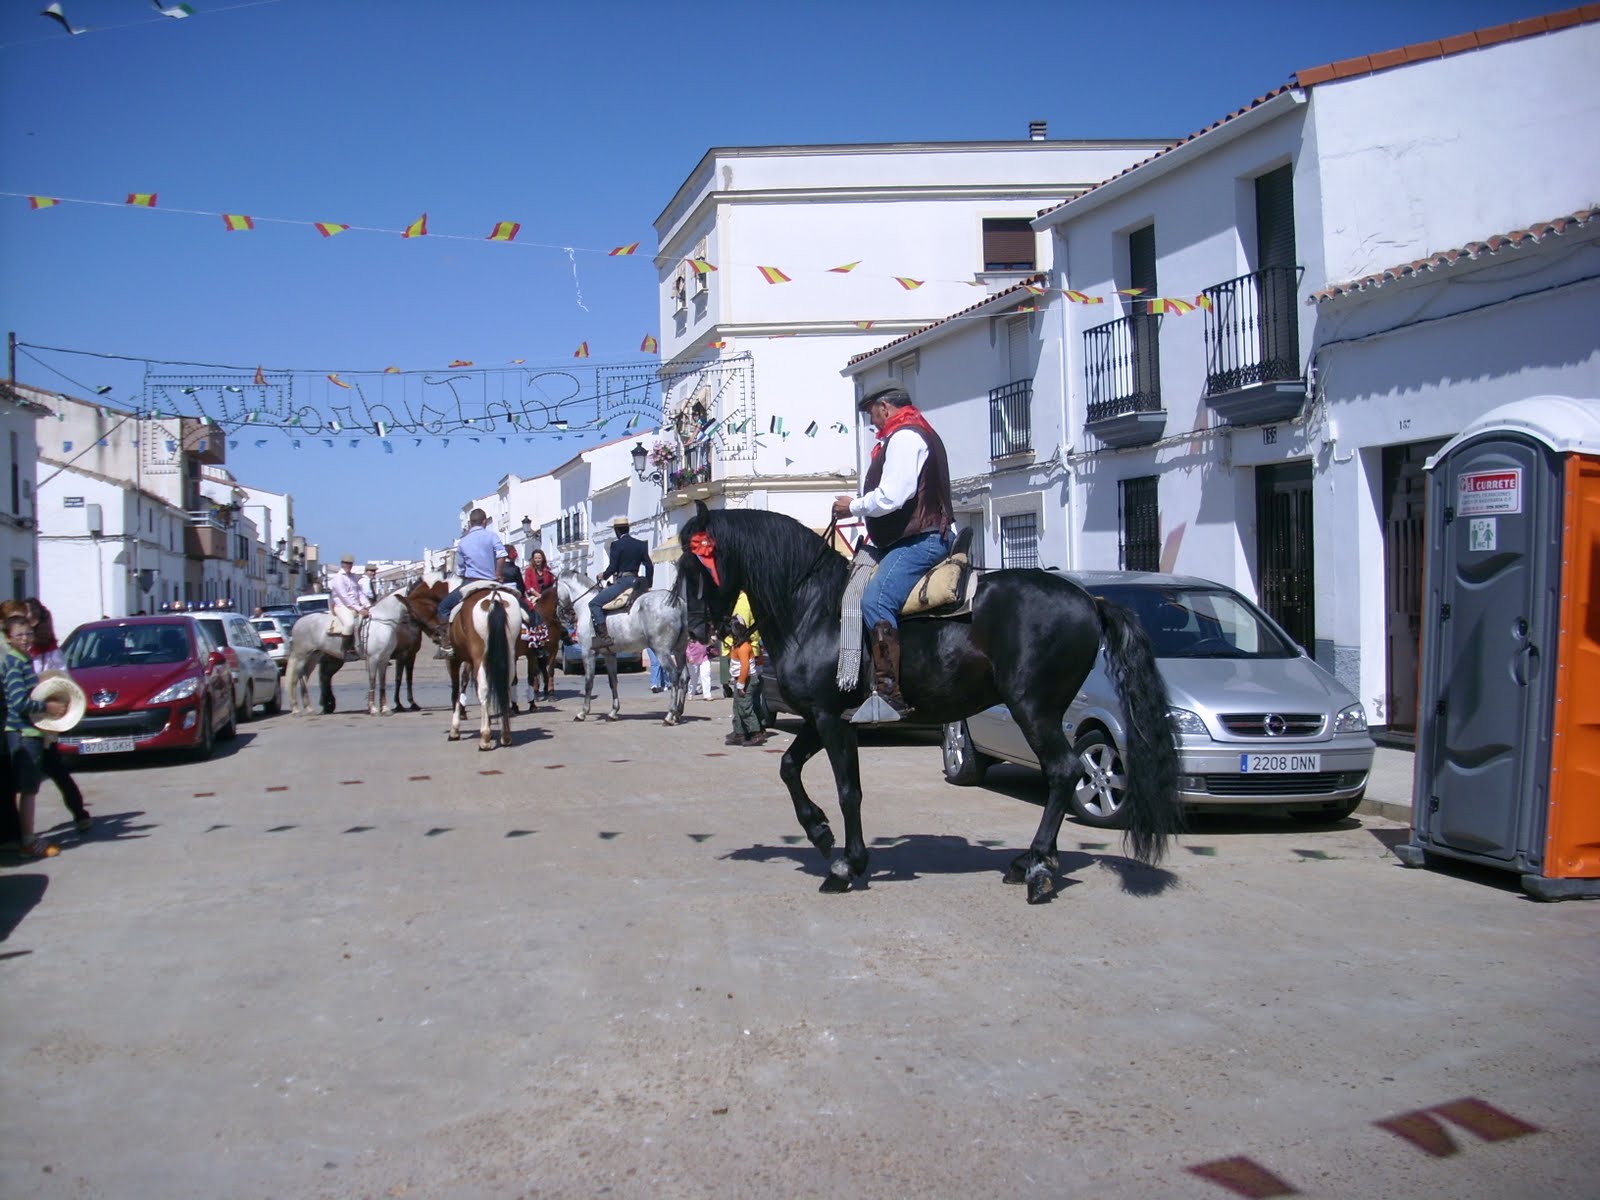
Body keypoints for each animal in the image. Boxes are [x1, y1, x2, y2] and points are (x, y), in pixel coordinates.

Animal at [284, 582, 446, 716]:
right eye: (427, 608)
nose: (440, 633)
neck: (384, 623)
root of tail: (299, 621)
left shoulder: (387, 658)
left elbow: (386, 681)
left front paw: (386, 708)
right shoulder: (387, 657)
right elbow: (380, 680)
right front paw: (377, 708)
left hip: (316, 656)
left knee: (311, 677)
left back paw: (314, 707)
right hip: (302, 656)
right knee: (297, 678)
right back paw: (298, 709)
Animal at [445, 582, 521, 750]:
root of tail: (494, 597)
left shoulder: (454, 660)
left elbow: (456, 690)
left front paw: (454, 730)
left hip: (479, 655)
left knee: (483, 689)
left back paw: (484, 738)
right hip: (509, 652)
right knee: (505, 685)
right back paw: (505, 736)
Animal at [555, 573, 689, 724]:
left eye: (555, 588)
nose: (561, 613)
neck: (585, 606)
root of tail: (677, 603)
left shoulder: (588, 652)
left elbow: (589, 682)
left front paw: (582, 713)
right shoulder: (609, 655)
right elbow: (613, 681)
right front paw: (613, 712)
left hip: (662, 652)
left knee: (674, 675)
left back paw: (670, 715)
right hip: (679, 650)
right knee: (684, 676)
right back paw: (678, 713)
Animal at [674, 502, 1182, 904]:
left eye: (698, 567)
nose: (695, 632)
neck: (815, 609)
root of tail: (1089, 599)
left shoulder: (832, 720)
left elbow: (848, 790)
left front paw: (848, 865)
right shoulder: (820, 720)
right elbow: (788, 768)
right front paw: (819, 833)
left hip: (1033, 709)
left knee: (1064, 770)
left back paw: (1037, 866)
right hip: (1045, 712)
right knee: (1062, 773)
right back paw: (1035, 861)